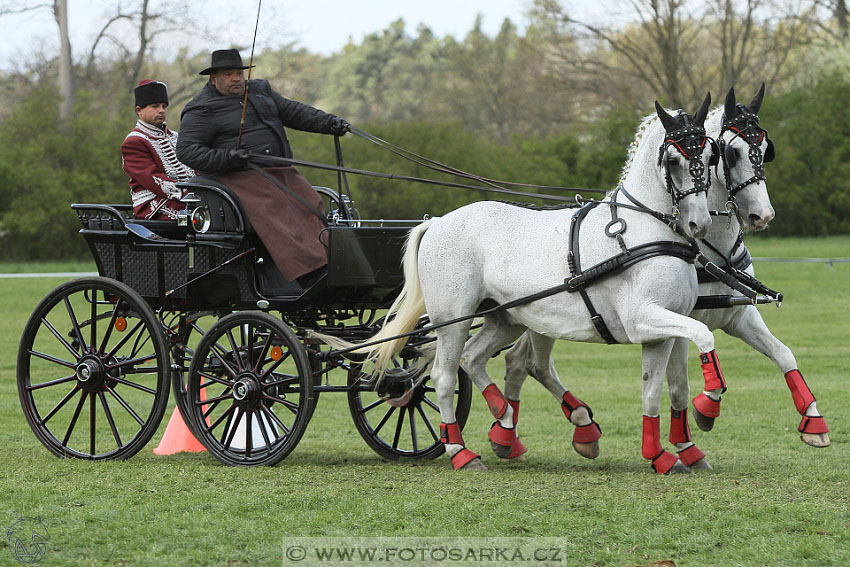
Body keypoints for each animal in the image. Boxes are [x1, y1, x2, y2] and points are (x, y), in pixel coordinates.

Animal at [322, 94, 724, 474]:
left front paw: (663, 455)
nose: (700, 224)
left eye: (710, 154)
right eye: (673, 160)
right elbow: (705, 336)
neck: (642, 230)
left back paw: (506, 422)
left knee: (473, 358)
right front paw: (708, 406)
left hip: (506, 318)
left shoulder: (663, 330)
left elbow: (659, 390)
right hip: (453, 319)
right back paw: (461, 451)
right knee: (445, 375)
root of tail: (437, 221)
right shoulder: (642, 319)